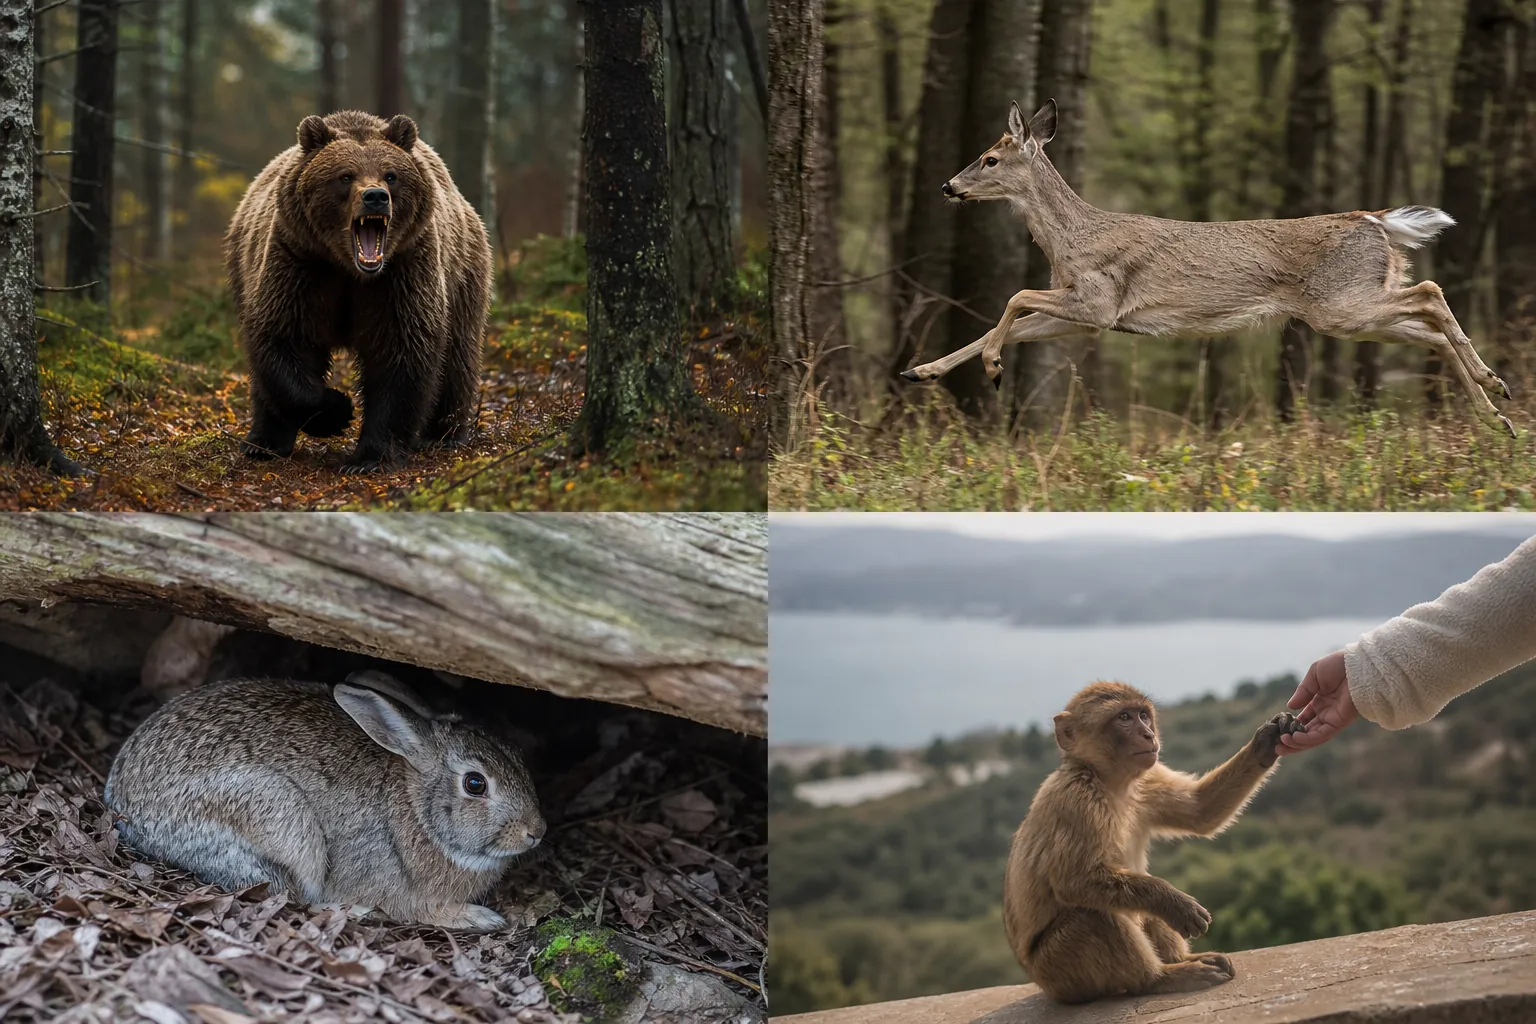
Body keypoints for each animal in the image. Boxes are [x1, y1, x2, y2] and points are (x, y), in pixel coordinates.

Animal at [103, 675, 546, 931]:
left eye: (518, 756)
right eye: (475, 784)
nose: (536, 832)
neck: (417, 809)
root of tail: (125, 809)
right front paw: (480, 918)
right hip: (278, 818)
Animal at [224, 110, 492, 472]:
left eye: (391, 175)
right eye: (345, 176)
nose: (375, 196)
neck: (350, 270)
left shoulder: (401, 274)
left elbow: (401, 352)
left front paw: (370, 456)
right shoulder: (300, 263)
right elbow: (283, 338)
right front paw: (336, 410)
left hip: (463, 273)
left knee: (458, 355)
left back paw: (444, 434)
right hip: (243, 263)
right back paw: (263, 441)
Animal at [899, 100, 1516, 437]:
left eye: (990, 159)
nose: (948, 186)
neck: (1071, 241)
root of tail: (1375, 219)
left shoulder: (1099, 300)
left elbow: (1014, 299)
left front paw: (993, 368)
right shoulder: (1084, 314)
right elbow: (1011, 319)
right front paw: (921, 371)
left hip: (1341, 304)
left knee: (1430, 291)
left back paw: (1496, 385)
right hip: (1354, 310)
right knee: (1426, 328)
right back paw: (1497, 415)